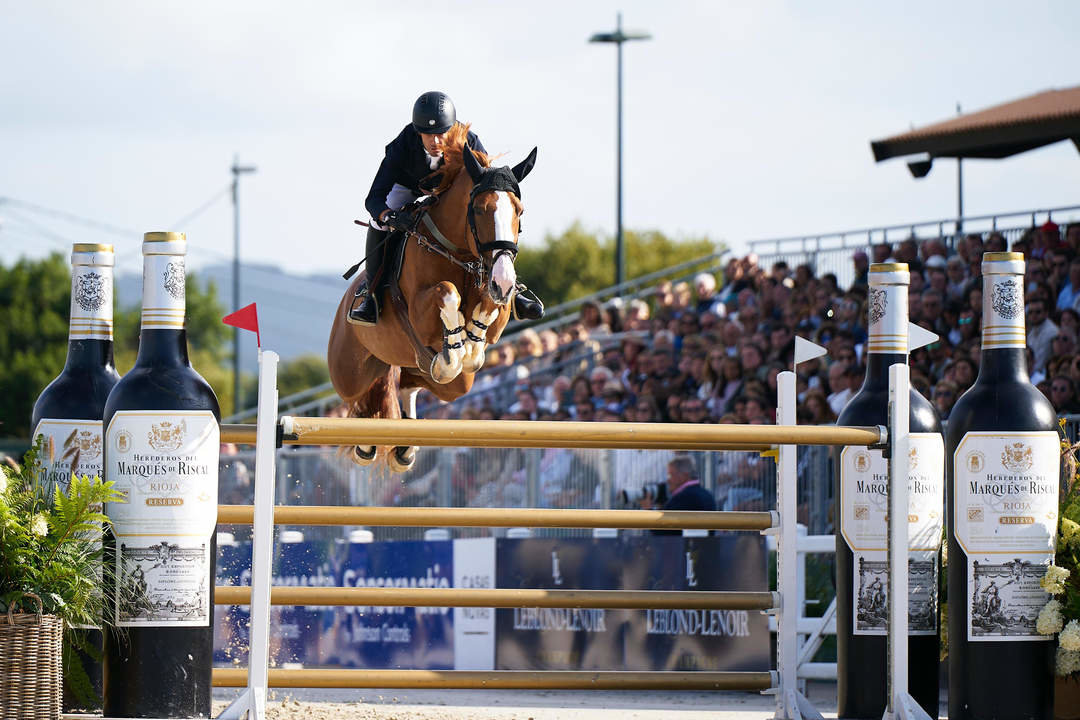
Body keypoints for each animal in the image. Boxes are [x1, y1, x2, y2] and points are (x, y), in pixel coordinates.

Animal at [324, 126, 535, 470]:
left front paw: (468, 345)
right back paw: (366, 443)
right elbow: (446, 291)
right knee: (359, 397)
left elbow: (488, 310)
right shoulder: (420, 312)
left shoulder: (496, 301)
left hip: (443, 380)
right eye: (480, 209)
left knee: (411, 383)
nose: (504, 279)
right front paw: (457, 341)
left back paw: (405, 445)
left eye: (519, 211)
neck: (458, 252)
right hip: (348, 370)